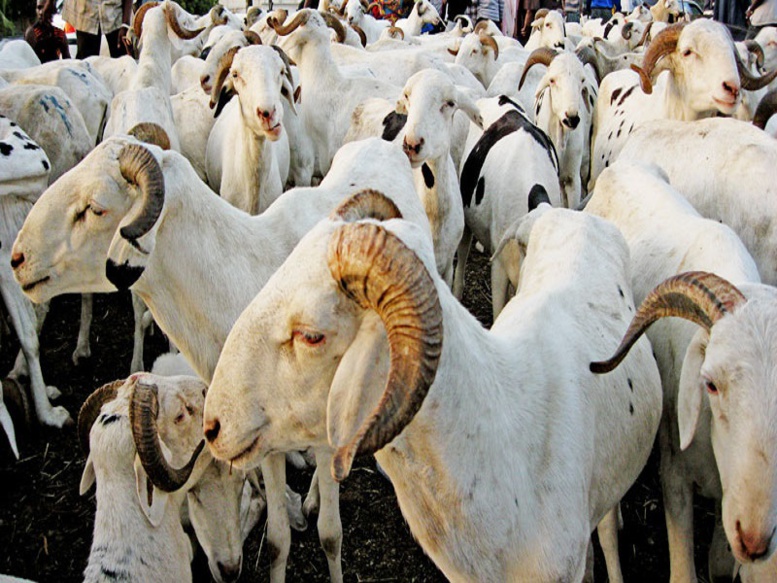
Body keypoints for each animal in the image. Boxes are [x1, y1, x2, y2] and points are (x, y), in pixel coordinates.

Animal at [11, 136, 431, 583]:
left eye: (94, 208)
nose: (17, 259)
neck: (237, 281)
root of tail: (383, 143)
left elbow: (331, 535)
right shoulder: (258, 442)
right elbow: (277, 541)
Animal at [585, 160, 762, 582]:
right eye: (710, 383)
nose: (754, 538)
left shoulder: (728, 503)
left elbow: (719, 565)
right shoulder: (676, 470)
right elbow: (683, 571)